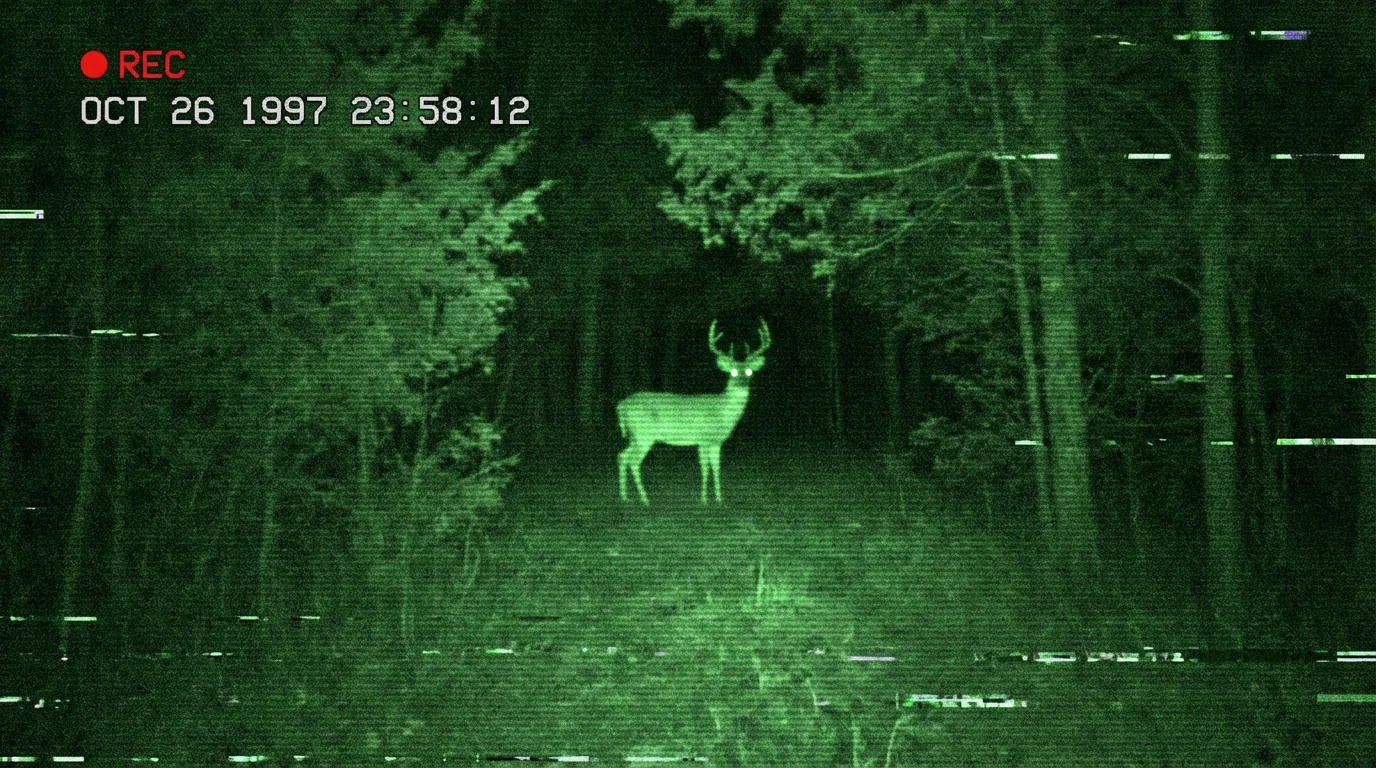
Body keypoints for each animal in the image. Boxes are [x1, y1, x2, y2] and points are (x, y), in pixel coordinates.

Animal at [617, 319, 771, 505]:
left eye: (749, 371)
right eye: (732, 372)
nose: (742, 385)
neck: (722, 413)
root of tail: (621, 406)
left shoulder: (716, 442)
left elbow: (716, 468)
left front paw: (719, 499)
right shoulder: (703, 439)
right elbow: (705, 468)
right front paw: (704, 499)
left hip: (635, 435)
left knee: (621, 456)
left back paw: (624, 496)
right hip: (643, 433)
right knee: (632, 461)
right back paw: (645, 499)